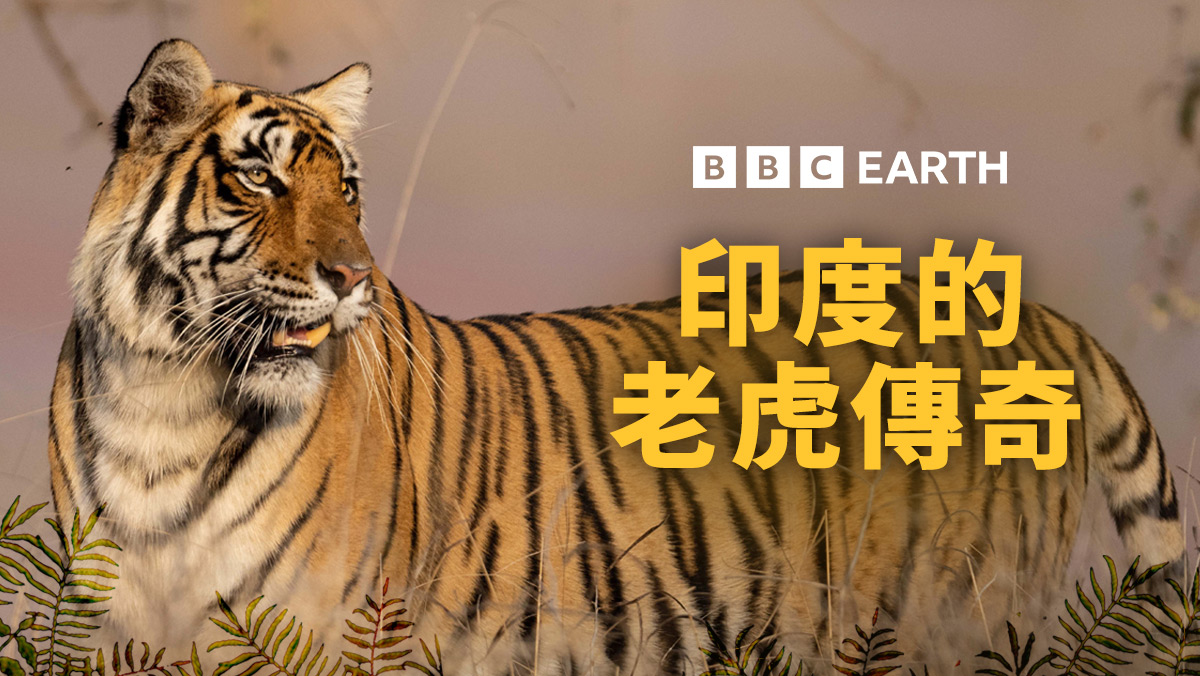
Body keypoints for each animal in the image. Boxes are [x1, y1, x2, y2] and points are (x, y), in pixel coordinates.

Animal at [48, 39, 1183, 675]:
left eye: (350, 189)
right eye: (262, 180)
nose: (351, 276)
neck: (166, 396)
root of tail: (1031, 312)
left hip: (943, 622)